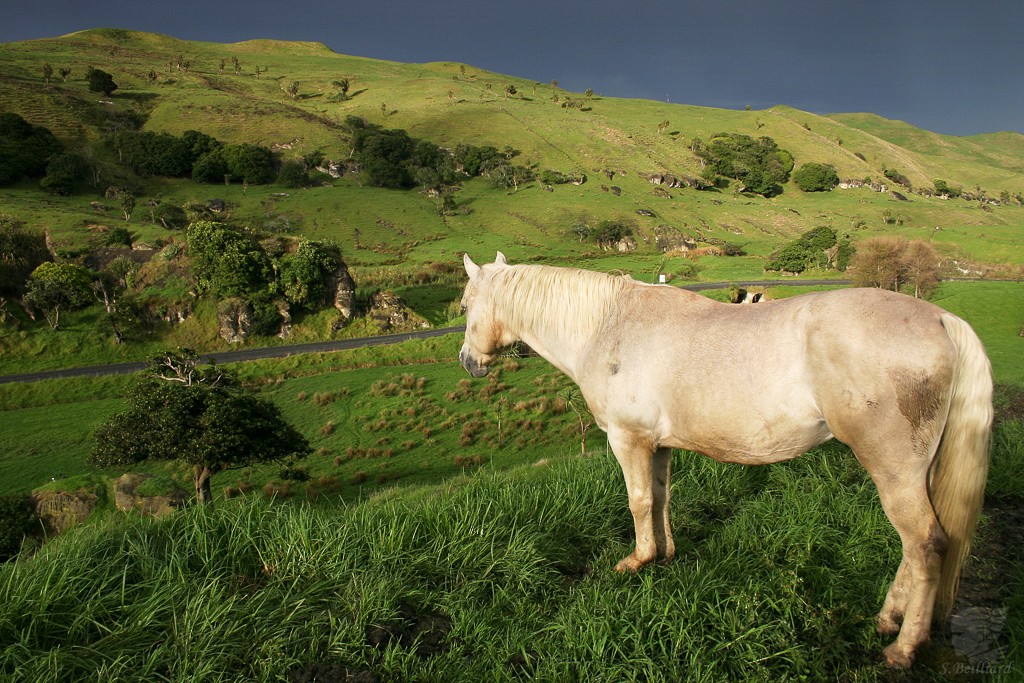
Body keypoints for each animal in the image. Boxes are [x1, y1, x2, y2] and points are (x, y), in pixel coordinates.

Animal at [460, 250, 987, 667]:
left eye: (465, 306)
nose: (468, 360)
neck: (609, 327)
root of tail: (940, 319)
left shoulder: (629, 441)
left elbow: (638, 502)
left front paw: (638, 560)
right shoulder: (659, 445)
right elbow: (661, 498)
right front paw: (665, 554)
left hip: (894, 471)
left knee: (925, 545)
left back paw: (903, 647)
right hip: (918, 474)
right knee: (916, 549)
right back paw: (888, 619)